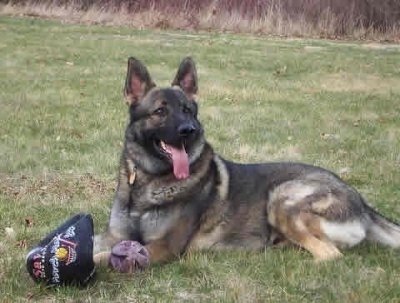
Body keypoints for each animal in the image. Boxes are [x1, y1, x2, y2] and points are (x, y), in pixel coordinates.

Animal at [94, 56, 400, 264]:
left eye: (188, 110)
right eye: (160, 111)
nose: (189, 130)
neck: (149, 180)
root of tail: (360, 201)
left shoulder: (162, 247)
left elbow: (105, 258)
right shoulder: (113, 236)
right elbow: (96, 243)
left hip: (282, 199)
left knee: (330, 254)